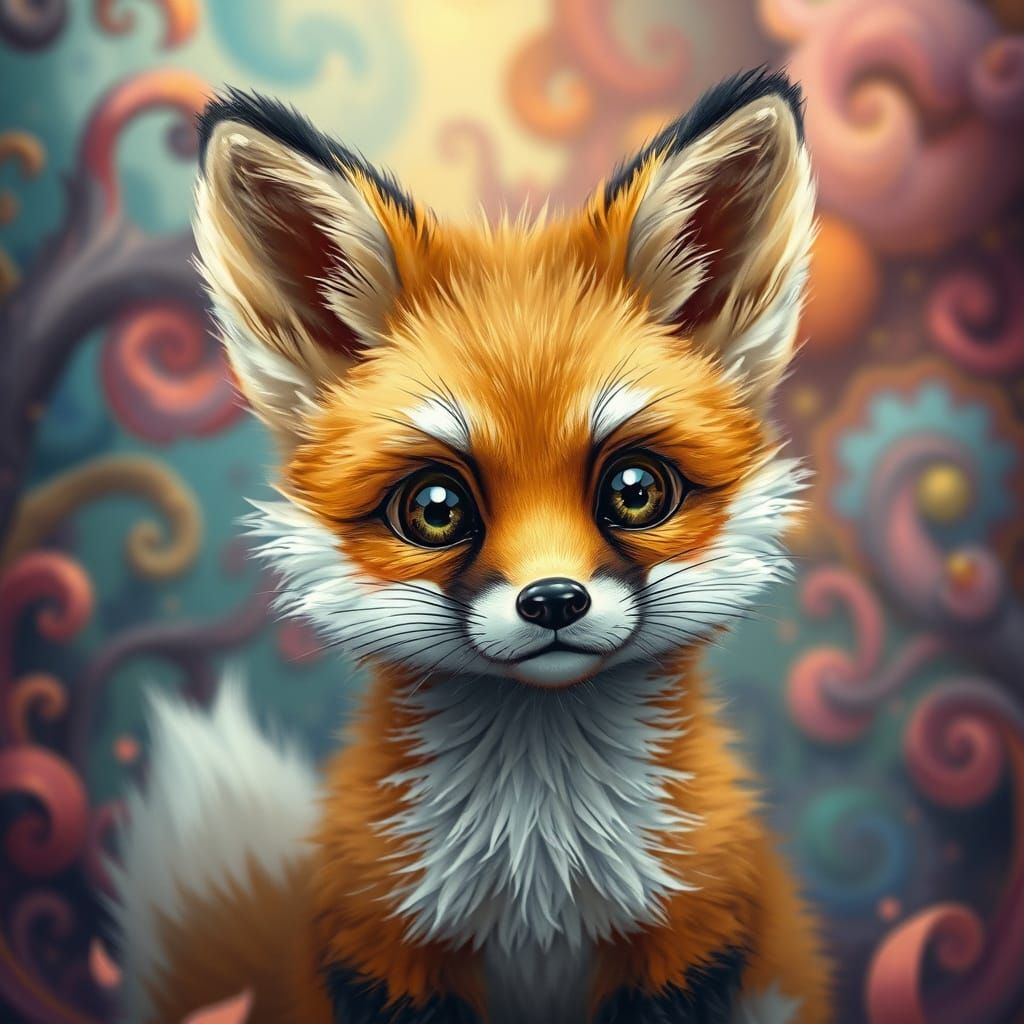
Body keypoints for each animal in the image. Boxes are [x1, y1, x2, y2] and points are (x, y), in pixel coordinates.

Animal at [111, 68, 831, 1024]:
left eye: (635, 490)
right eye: (437, 508)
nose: (554, 601)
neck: (539, 870)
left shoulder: (690, 935)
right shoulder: (385, 946)